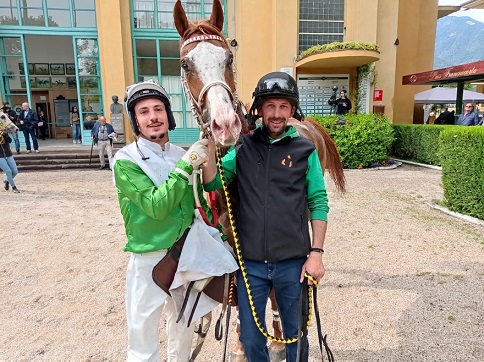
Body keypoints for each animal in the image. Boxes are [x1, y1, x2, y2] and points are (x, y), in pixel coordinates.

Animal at [174, 0, 344, 360]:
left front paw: (277, 341)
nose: (225, 123)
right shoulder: (233, 237)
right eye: (185, 63)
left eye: (228, 58)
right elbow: (241, 293)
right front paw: (241, 343)